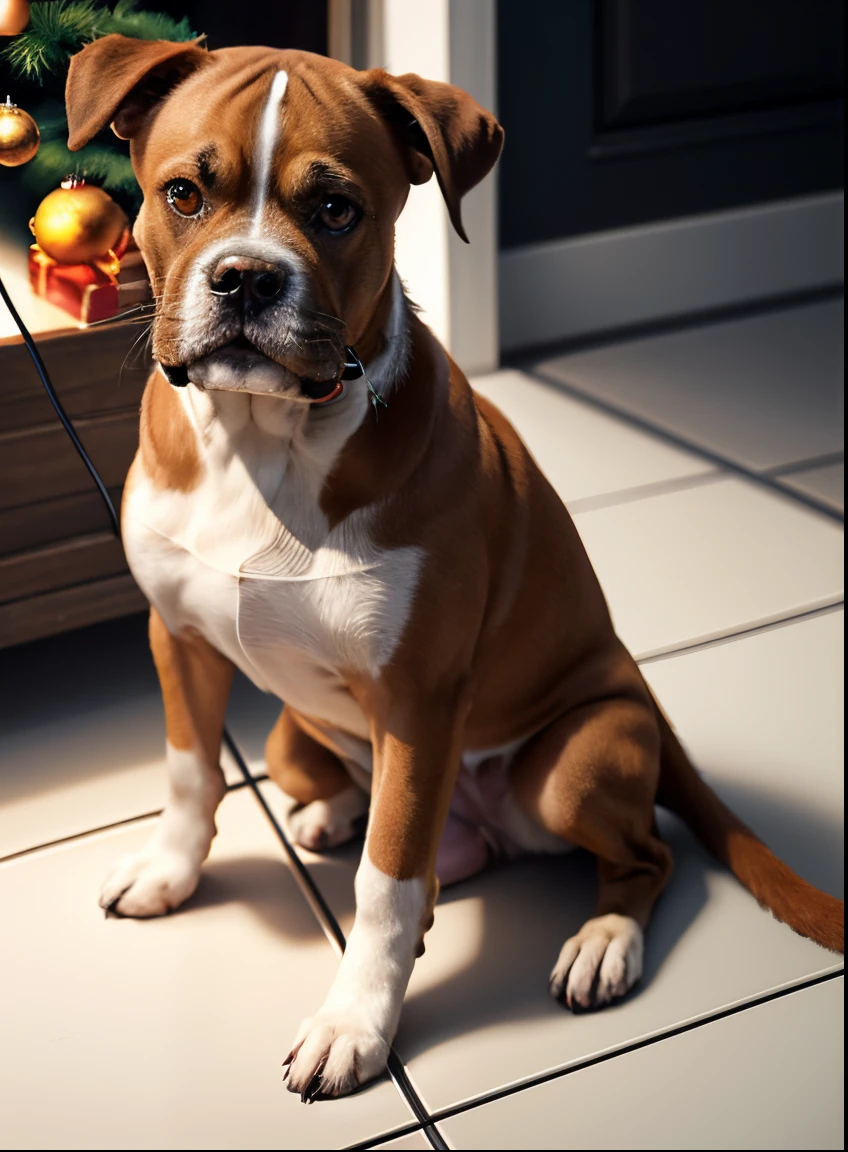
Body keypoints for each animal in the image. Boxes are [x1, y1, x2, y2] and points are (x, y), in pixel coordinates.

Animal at [64, 33, 843, 1096]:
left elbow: (389, 884)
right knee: (426, 843)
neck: (265, 442)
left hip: (577, 762)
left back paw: (603, 942)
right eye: (184, 193)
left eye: (336, 210)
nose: (247, 278)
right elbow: (190, 774)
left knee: (637, 856)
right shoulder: (178, 636)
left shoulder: (420, 698)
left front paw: (355, 1024)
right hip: (294, 738)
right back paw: (333, 813)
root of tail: (646, 696)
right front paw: (169, 872)